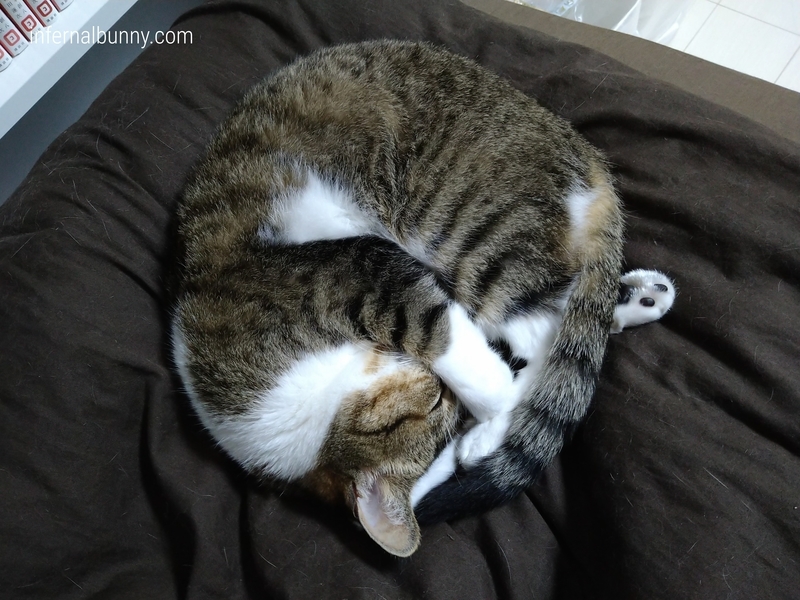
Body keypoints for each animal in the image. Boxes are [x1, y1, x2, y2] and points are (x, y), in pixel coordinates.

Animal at [170, 40, 675, 557]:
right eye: (438, 411)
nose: (457, 415)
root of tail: (586, 152)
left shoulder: (369, 269)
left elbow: (479, 368)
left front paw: (488, 429)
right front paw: (474, 441)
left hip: (458, 231)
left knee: (542, 331)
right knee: (570, 314)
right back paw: (640, 299)